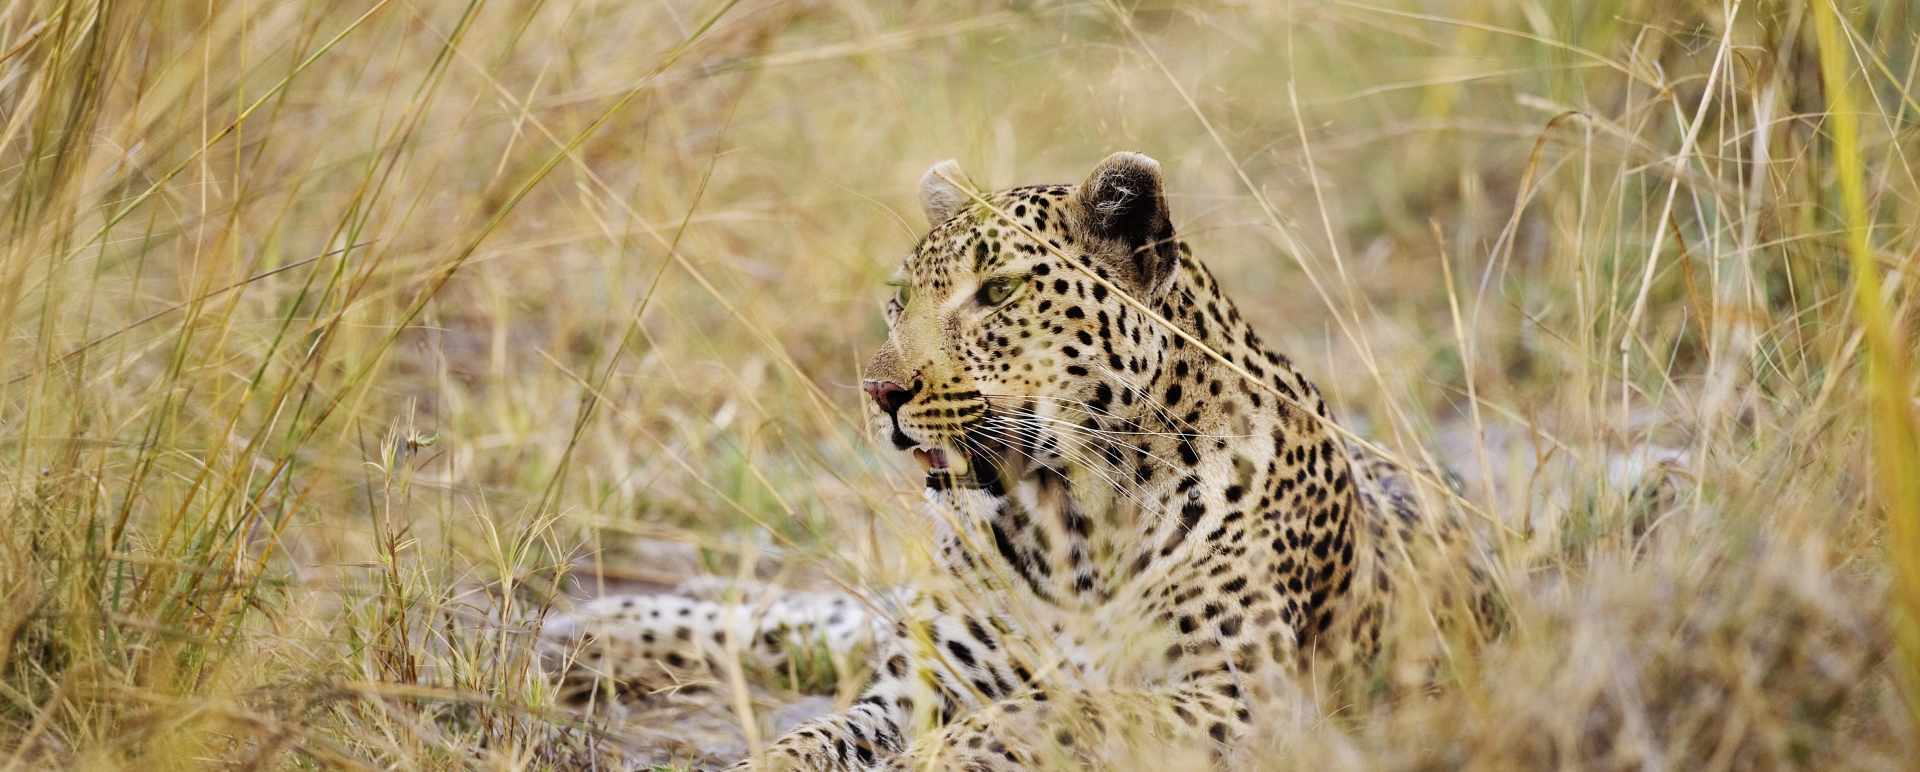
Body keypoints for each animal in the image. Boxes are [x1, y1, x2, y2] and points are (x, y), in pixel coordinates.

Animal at [541, 152, 1496, 770]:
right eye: (900, 301)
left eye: (996, 292)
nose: (878, 392)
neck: (1067, 523)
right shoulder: (916, 690)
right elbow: (814, 736)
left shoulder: (1245, 695)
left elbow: (1062, 708)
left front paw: (944, 758)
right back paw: (593, 627)